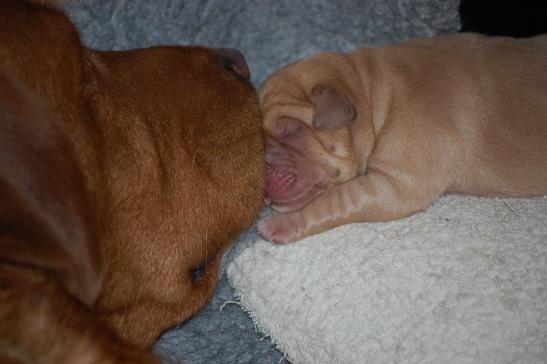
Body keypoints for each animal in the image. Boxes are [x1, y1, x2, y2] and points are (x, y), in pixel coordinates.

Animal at [260, 34, 547, 243]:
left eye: (291, 131)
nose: (262, 169)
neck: (369, 88)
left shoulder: (397, 184)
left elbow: (335, 199)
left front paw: (281, 224)